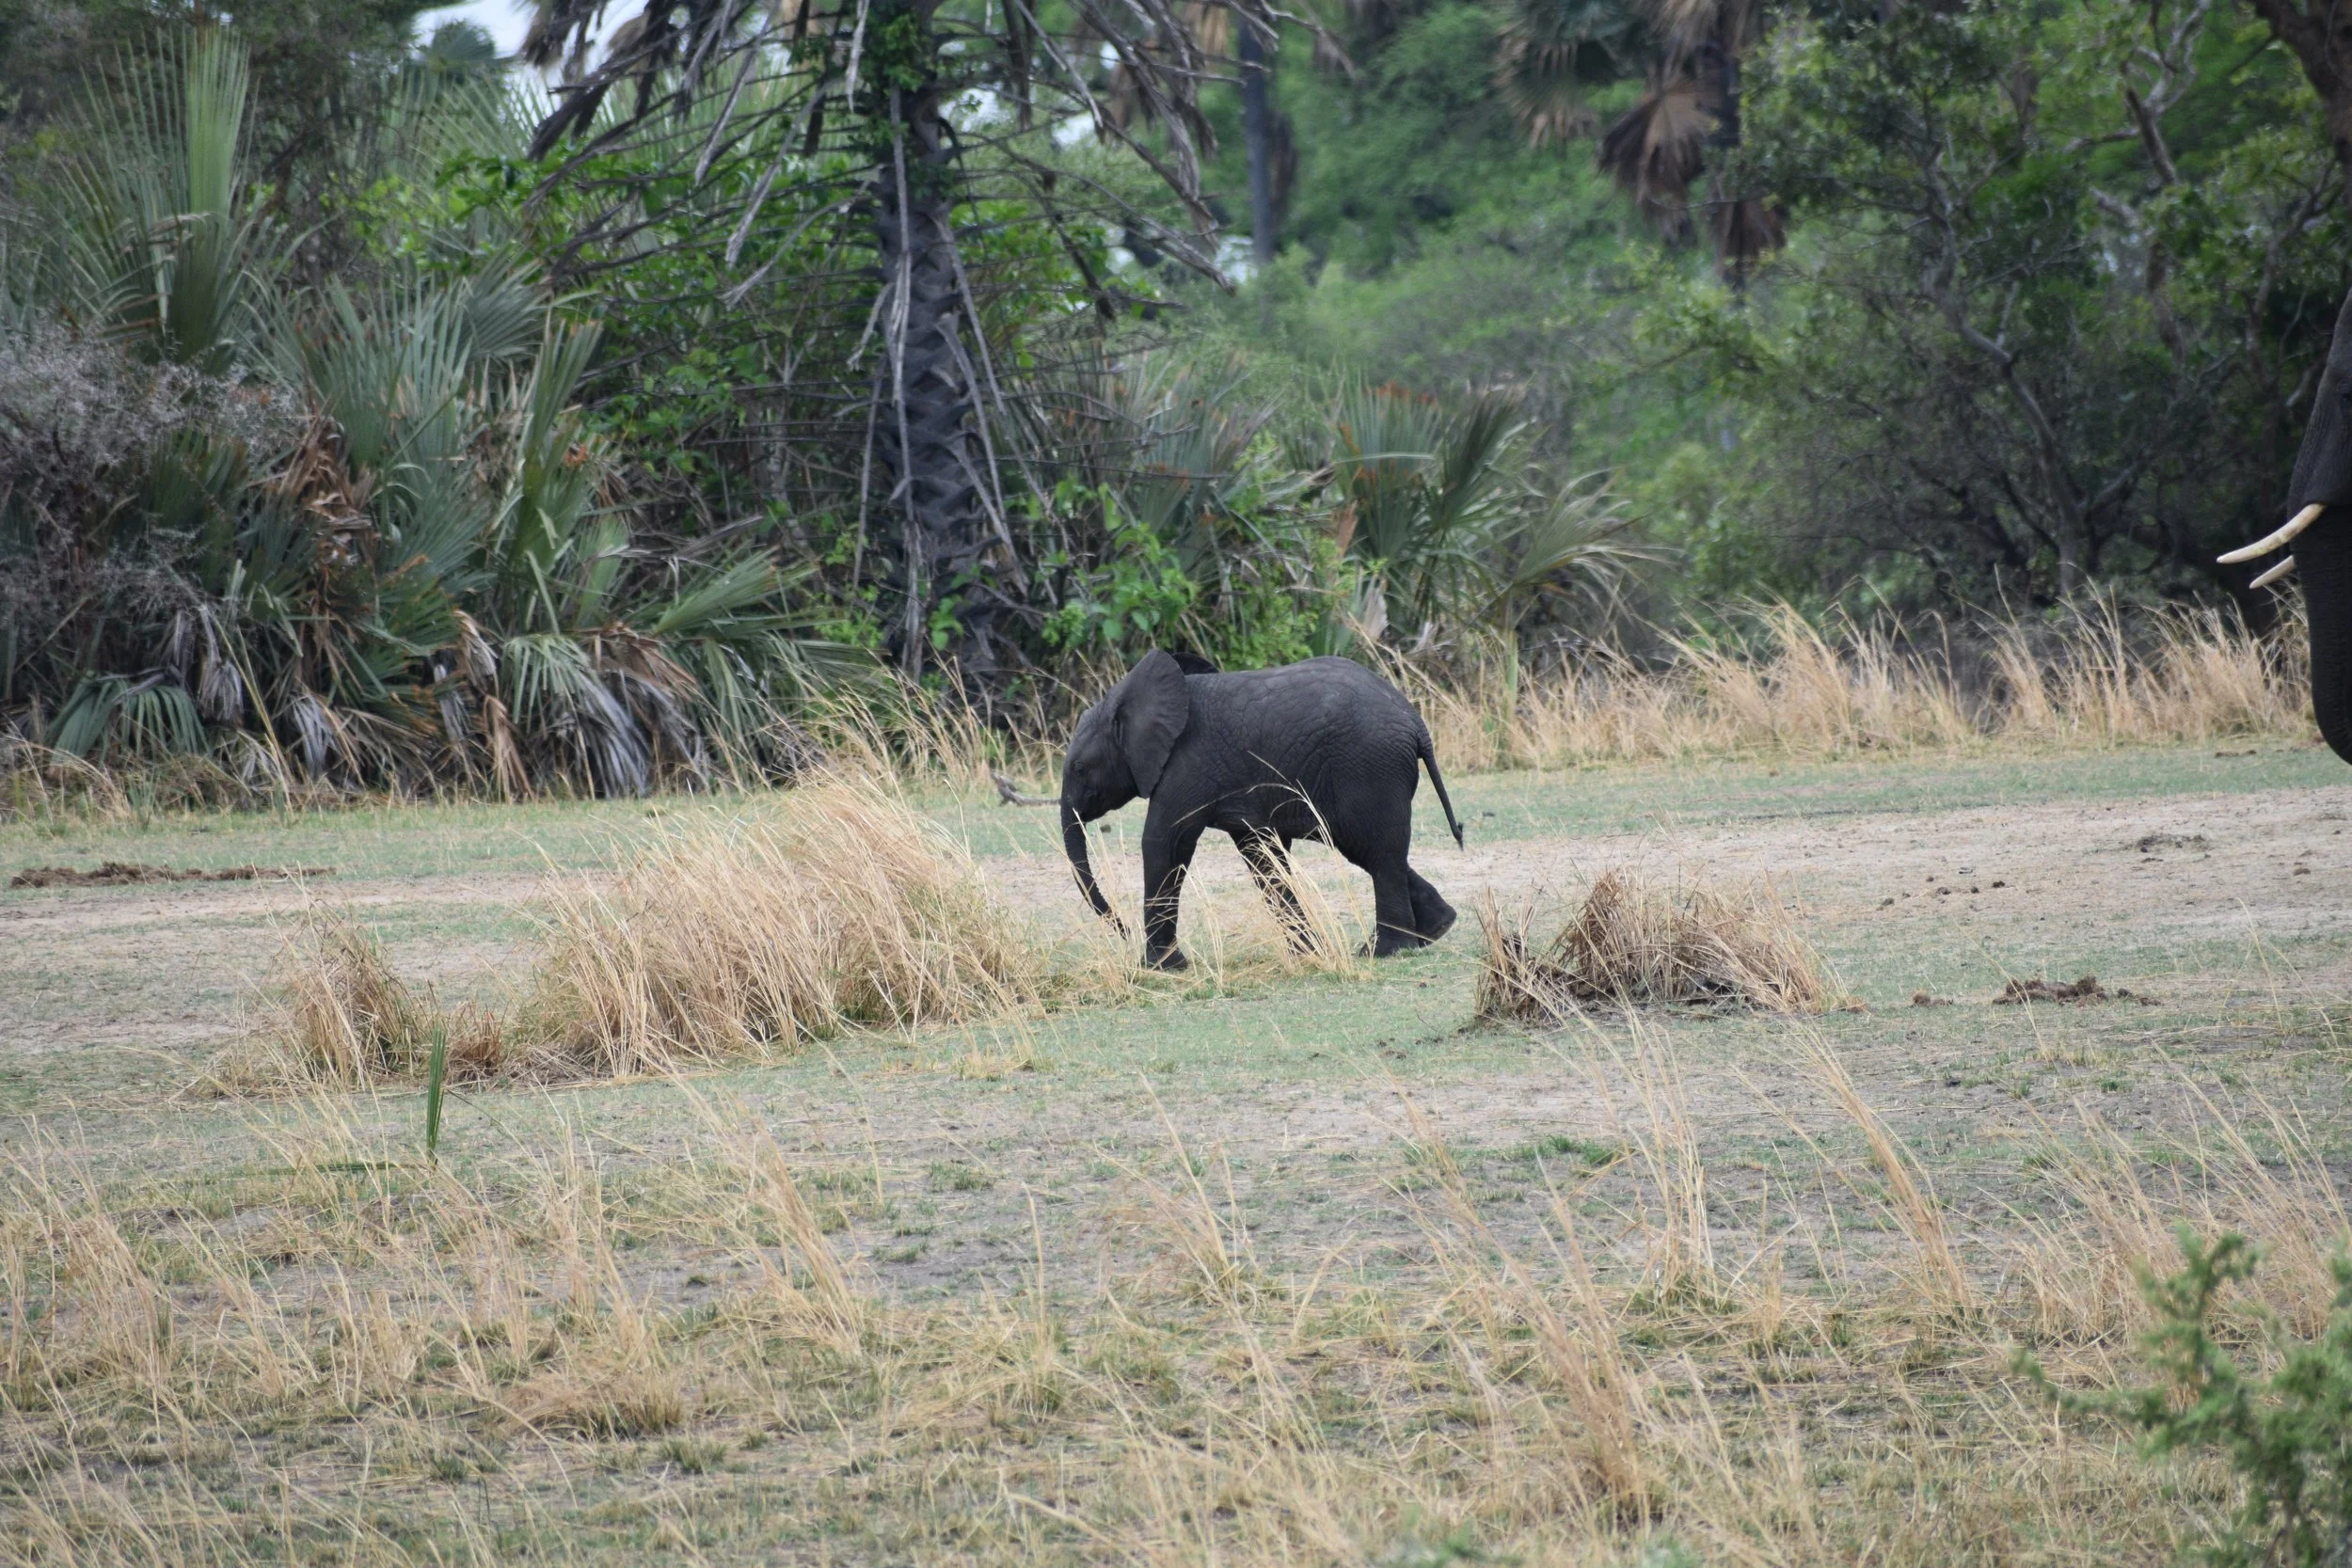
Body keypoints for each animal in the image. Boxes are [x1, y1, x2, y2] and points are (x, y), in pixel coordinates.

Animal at [1059, 650, 1467, 970]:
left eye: (1079, 768)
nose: (1122, 930)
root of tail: (1416, 723)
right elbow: (1262, 856)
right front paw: (1309, 954)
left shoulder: (1188, 765)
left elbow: (1165, 842)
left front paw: (1161, 968)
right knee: (1372, 851)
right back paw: (1435, 928)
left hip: (1369, 768)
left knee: (1376, 853)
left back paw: (1385, 952)